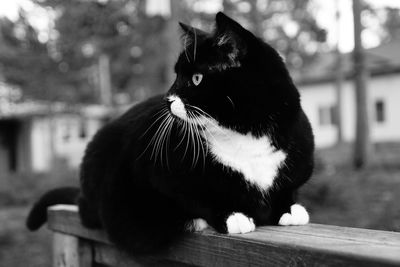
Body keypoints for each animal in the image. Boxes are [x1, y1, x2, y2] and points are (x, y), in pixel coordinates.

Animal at [27, 12, 316, 255]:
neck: (244, 136)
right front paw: (232, 215)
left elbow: (286, 190)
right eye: (176, 75)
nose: (167, 98)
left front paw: (290, 209)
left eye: (197, 79)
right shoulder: (158, 173)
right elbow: (198, 197)